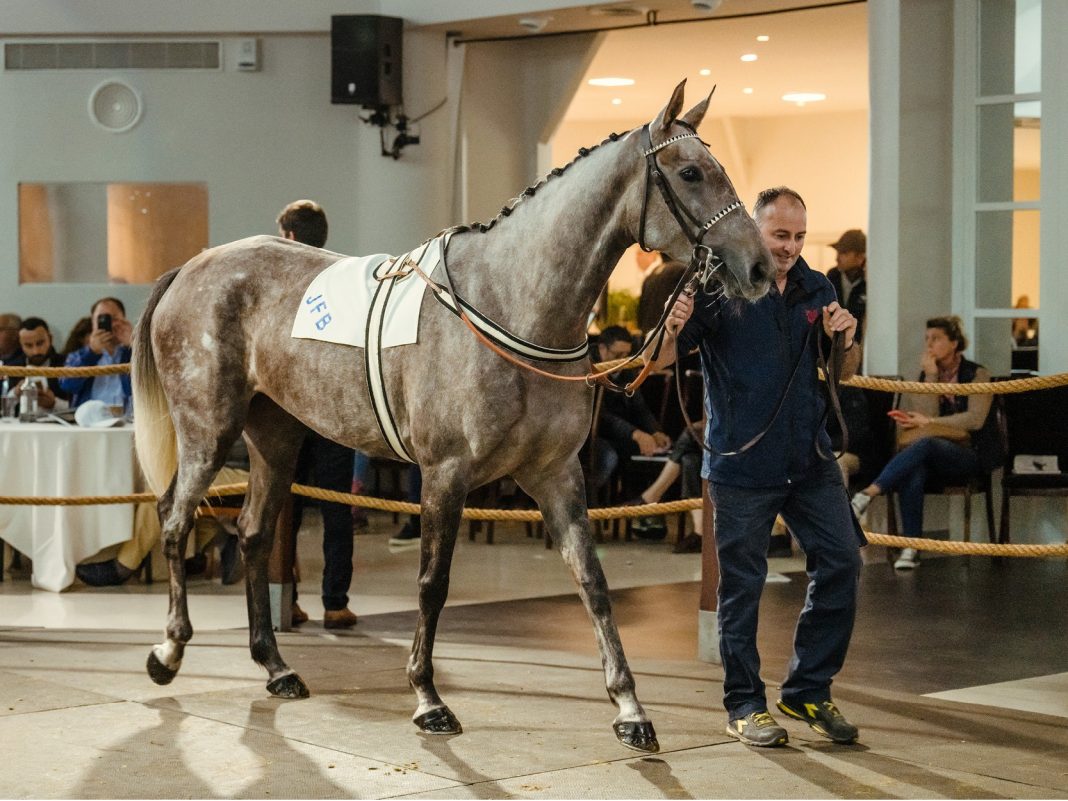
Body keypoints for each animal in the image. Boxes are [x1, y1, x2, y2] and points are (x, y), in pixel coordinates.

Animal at [133, 81, 773, 751]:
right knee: (174, 522)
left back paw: (275, 666)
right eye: (691, 172)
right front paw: (427, 697)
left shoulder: (557, 474)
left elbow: (593, 582)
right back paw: (168, 651)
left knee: (254, 534)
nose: (759, 267)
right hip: (209, 432)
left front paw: (630, 709)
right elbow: (432, 583)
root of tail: (194, 267)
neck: (511, 303)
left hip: (276, 439)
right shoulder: (445, 473)